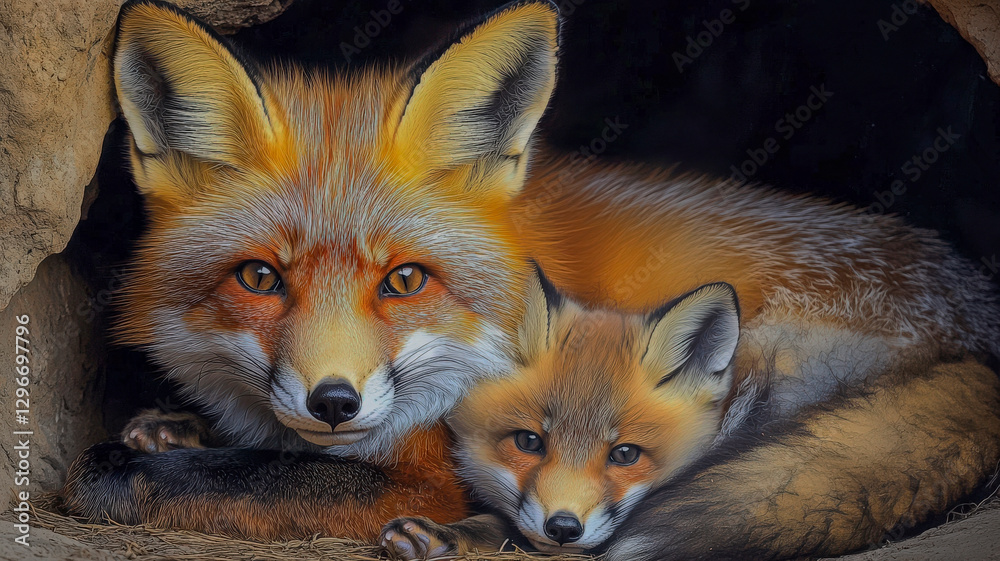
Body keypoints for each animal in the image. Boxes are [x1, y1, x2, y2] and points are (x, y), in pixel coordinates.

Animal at [61, 0, 1000, 558]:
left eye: (405, 280)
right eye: (260, 277)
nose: (334, 401)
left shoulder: (428, 466)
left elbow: (260, 476)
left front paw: (132, 467)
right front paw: (171, 428)